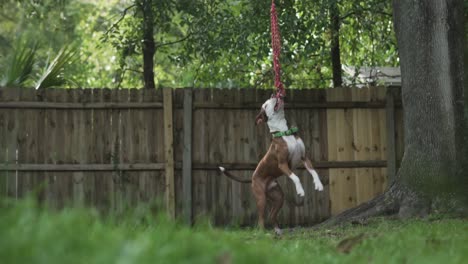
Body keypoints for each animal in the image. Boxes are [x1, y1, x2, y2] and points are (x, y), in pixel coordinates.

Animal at [218, 96, 322, 234]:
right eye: (266, 105)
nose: (274, 94)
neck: (284, 132)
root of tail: (252, 177)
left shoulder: (305, 158)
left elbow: (314, 171)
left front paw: (319, 185)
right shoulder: (282, 165)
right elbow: (296, 177)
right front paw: (300, 191)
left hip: (278, 197)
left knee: (272, 214)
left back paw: (277, 230)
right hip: (261, 198)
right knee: (261, 218)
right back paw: (263, 234)